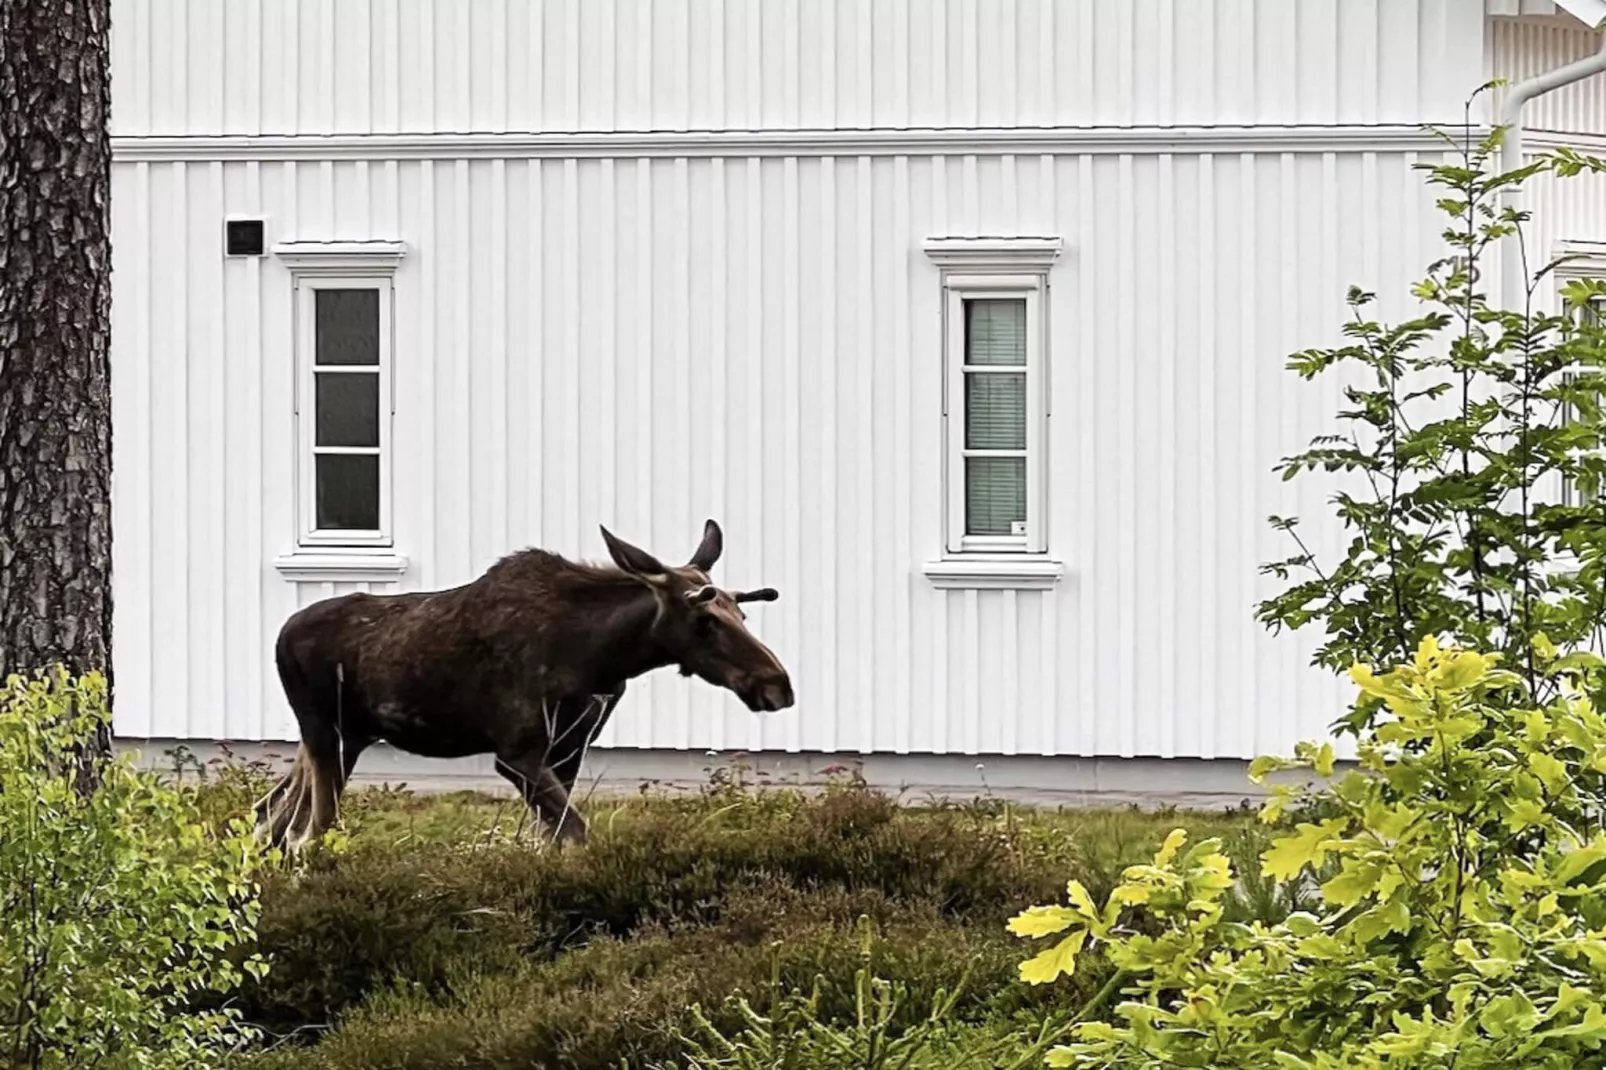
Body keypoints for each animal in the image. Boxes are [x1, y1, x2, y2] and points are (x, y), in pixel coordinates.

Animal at [252, 517, 796, 848]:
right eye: (704, 620)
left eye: (741, 613)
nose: (778, 684)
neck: (602, 659)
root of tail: (279, 635)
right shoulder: (516, 753)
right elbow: (576, 834)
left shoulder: (569, 751)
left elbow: (552, 840)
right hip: (326, 735)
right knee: (304, 833)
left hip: (342, 740)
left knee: (269, 815)